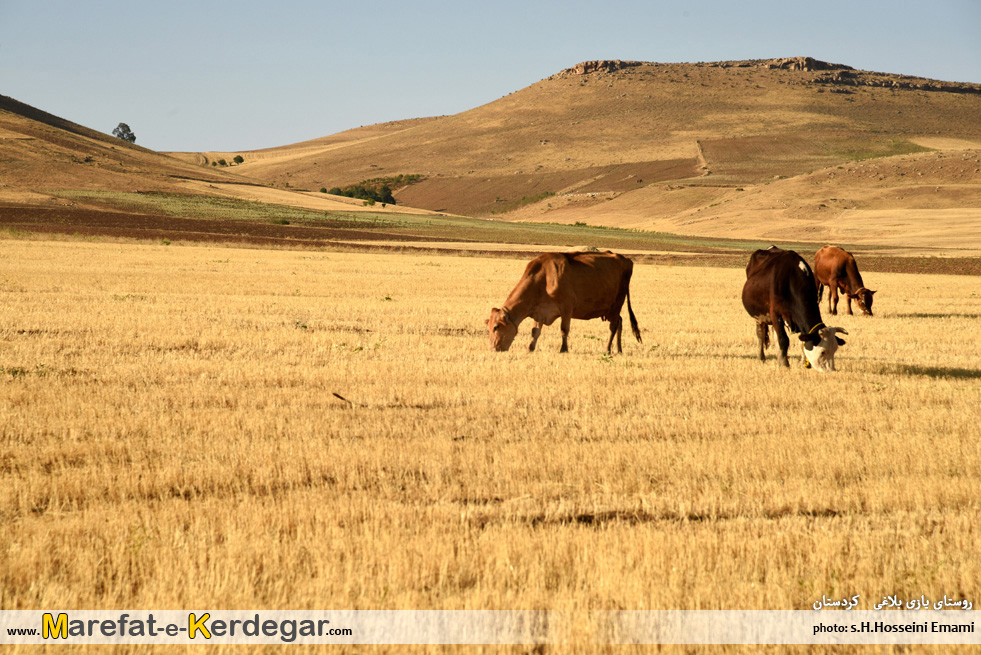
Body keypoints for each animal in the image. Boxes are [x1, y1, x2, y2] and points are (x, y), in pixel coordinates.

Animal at [484, 251, 640, 354]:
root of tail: (625, 259)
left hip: (617, 302)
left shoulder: (566, 308)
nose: (492, 349)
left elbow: (564, 330)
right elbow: (535, 331)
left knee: (613, 326)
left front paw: (563, 349)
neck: (544, 278)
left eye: (496, 327)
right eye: (489, 327)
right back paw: (618, 349)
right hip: (610, 309)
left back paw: (607, 349)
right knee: (619, 322)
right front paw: (530, 348)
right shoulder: (539, 310)